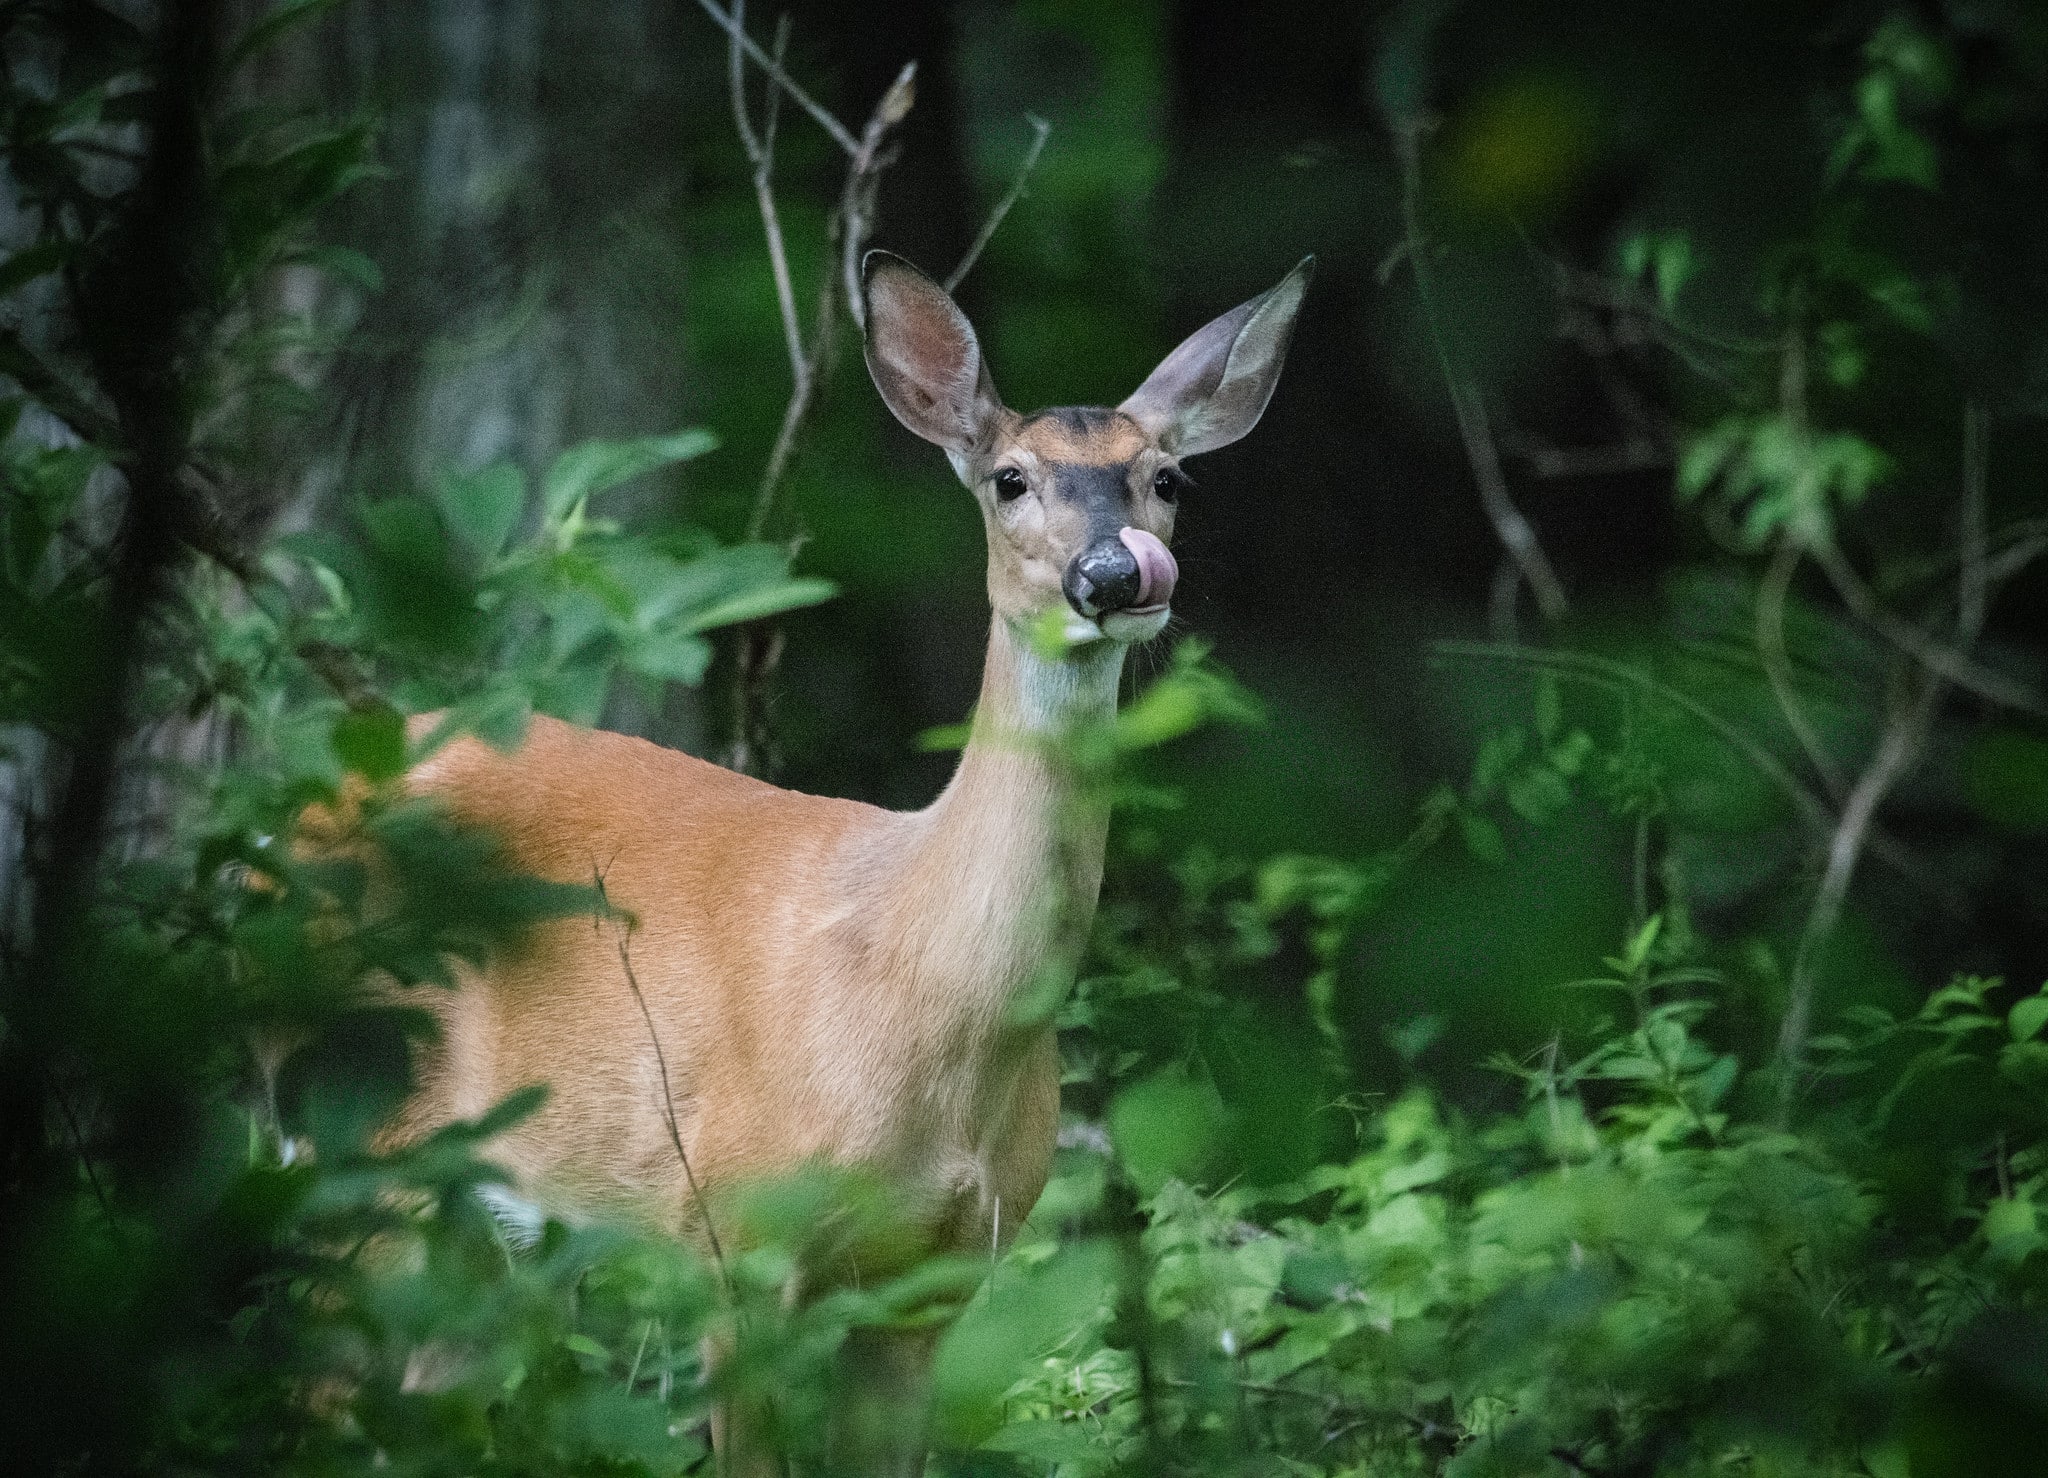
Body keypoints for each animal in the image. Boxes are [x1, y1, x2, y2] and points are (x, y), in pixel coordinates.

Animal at [383, 250, 1311, 1474]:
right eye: (1009, 479)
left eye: (1167, 479)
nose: (1116, 572)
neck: (920, 994)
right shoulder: (734, 1230)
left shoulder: (936, 1279)